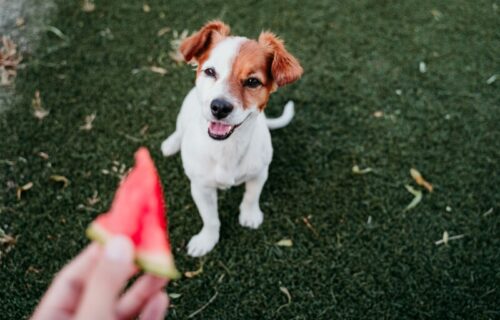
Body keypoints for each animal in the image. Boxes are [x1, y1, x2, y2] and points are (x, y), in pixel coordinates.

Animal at [161, 20, 300, 258]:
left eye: (252, 81)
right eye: (210, 71)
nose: (219, 107)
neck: (226, 147)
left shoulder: (259, 174)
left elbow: (251, 197)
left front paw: (250, 215)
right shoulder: (201, 188)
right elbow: (210, 219)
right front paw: (207, 240)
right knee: (179, 130)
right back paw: (171, 144)